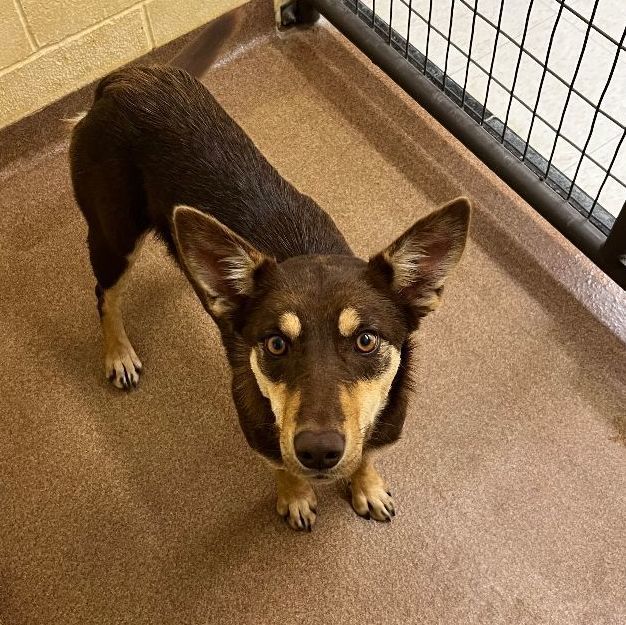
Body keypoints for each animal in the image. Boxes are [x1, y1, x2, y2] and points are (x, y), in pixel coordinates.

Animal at [69, 66, 468, 528]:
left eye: (366, 340)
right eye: (276, 343)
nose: (318, 451)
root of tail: (122, 78)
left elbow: (368, 454)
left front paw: (366, 486)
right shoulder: (255, 423)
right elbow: (280, 463)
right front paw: (295, 496)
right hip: (114, 236)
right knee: (105, 294)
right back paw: (118, 354)